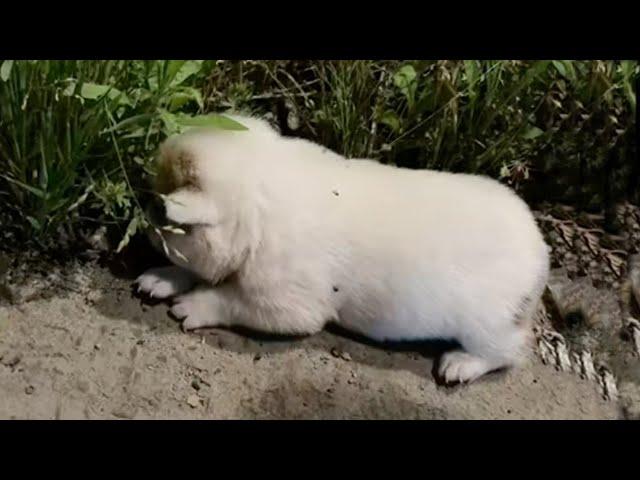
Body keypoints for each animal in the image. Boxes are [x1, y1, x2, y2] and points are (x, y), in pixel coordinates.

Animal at [135, 114, 552, 384]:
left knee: (511, 352)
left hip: (489, 324)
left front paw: (185, 309)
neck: (255, 210)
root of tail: (541, 252)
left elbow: (230, 298)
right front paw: (150, 282)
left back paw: (454, 368)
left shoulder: (288, 300)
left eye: (162, 211)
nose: (147, 229)